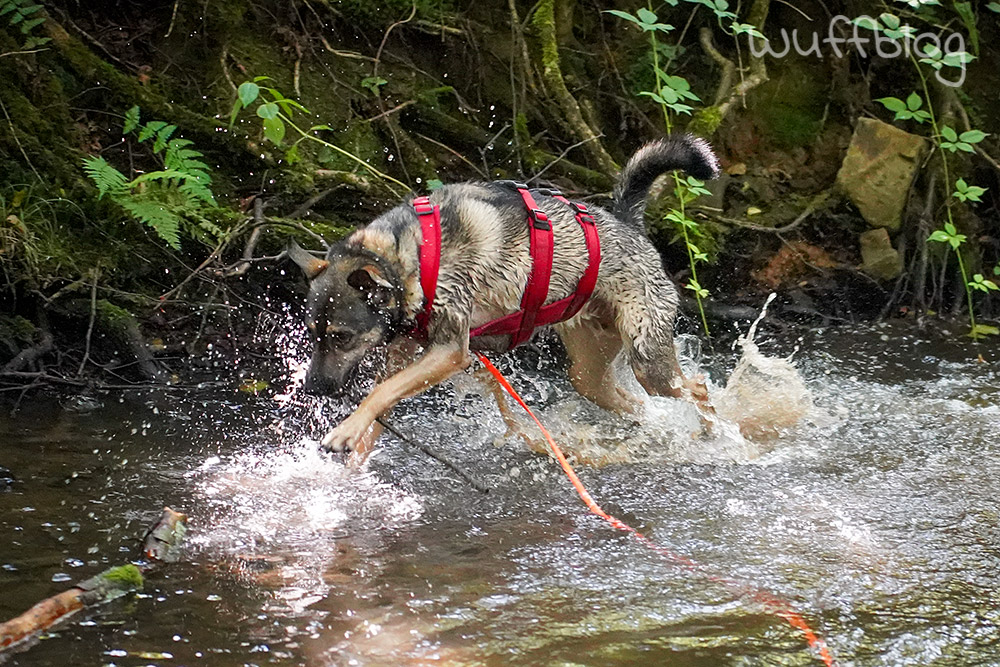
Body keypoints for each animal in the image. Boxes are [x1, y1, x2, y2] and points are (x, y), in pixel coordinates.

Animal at [290, 134, 720, 462]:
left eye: (342, 336)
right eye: (311, 332)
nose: (312, 388)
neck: (409, 258)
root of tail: (629, 225)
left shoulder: (450, 352)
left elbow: (377, 394)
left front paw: (343, 432)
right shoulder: (404, 354)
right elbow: (380, 405)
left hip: (648, 359)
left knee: (698, 389)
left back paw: (714, 435)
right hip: (588, 373)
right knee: (634, 404)